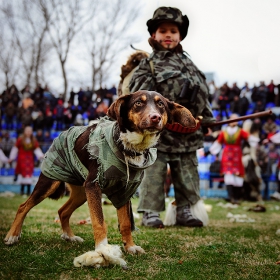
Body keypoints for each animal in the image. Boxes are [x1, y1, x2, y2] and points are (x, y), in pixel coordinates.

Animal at [3, 91, 197, 256]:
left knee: (62, 211)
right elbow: (99, 220)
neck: (128, 147)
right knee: (23, 206)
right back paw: (12, 236)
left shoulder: (124, 191)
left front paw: (130, 247)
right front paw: (103, 249)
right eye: (138, 103)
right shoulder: (94, 185)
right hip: (51, 182)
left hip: (82, 192)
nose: (154, 117)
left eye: (161, 105)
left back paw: (70, 236)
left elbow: (125, 223)